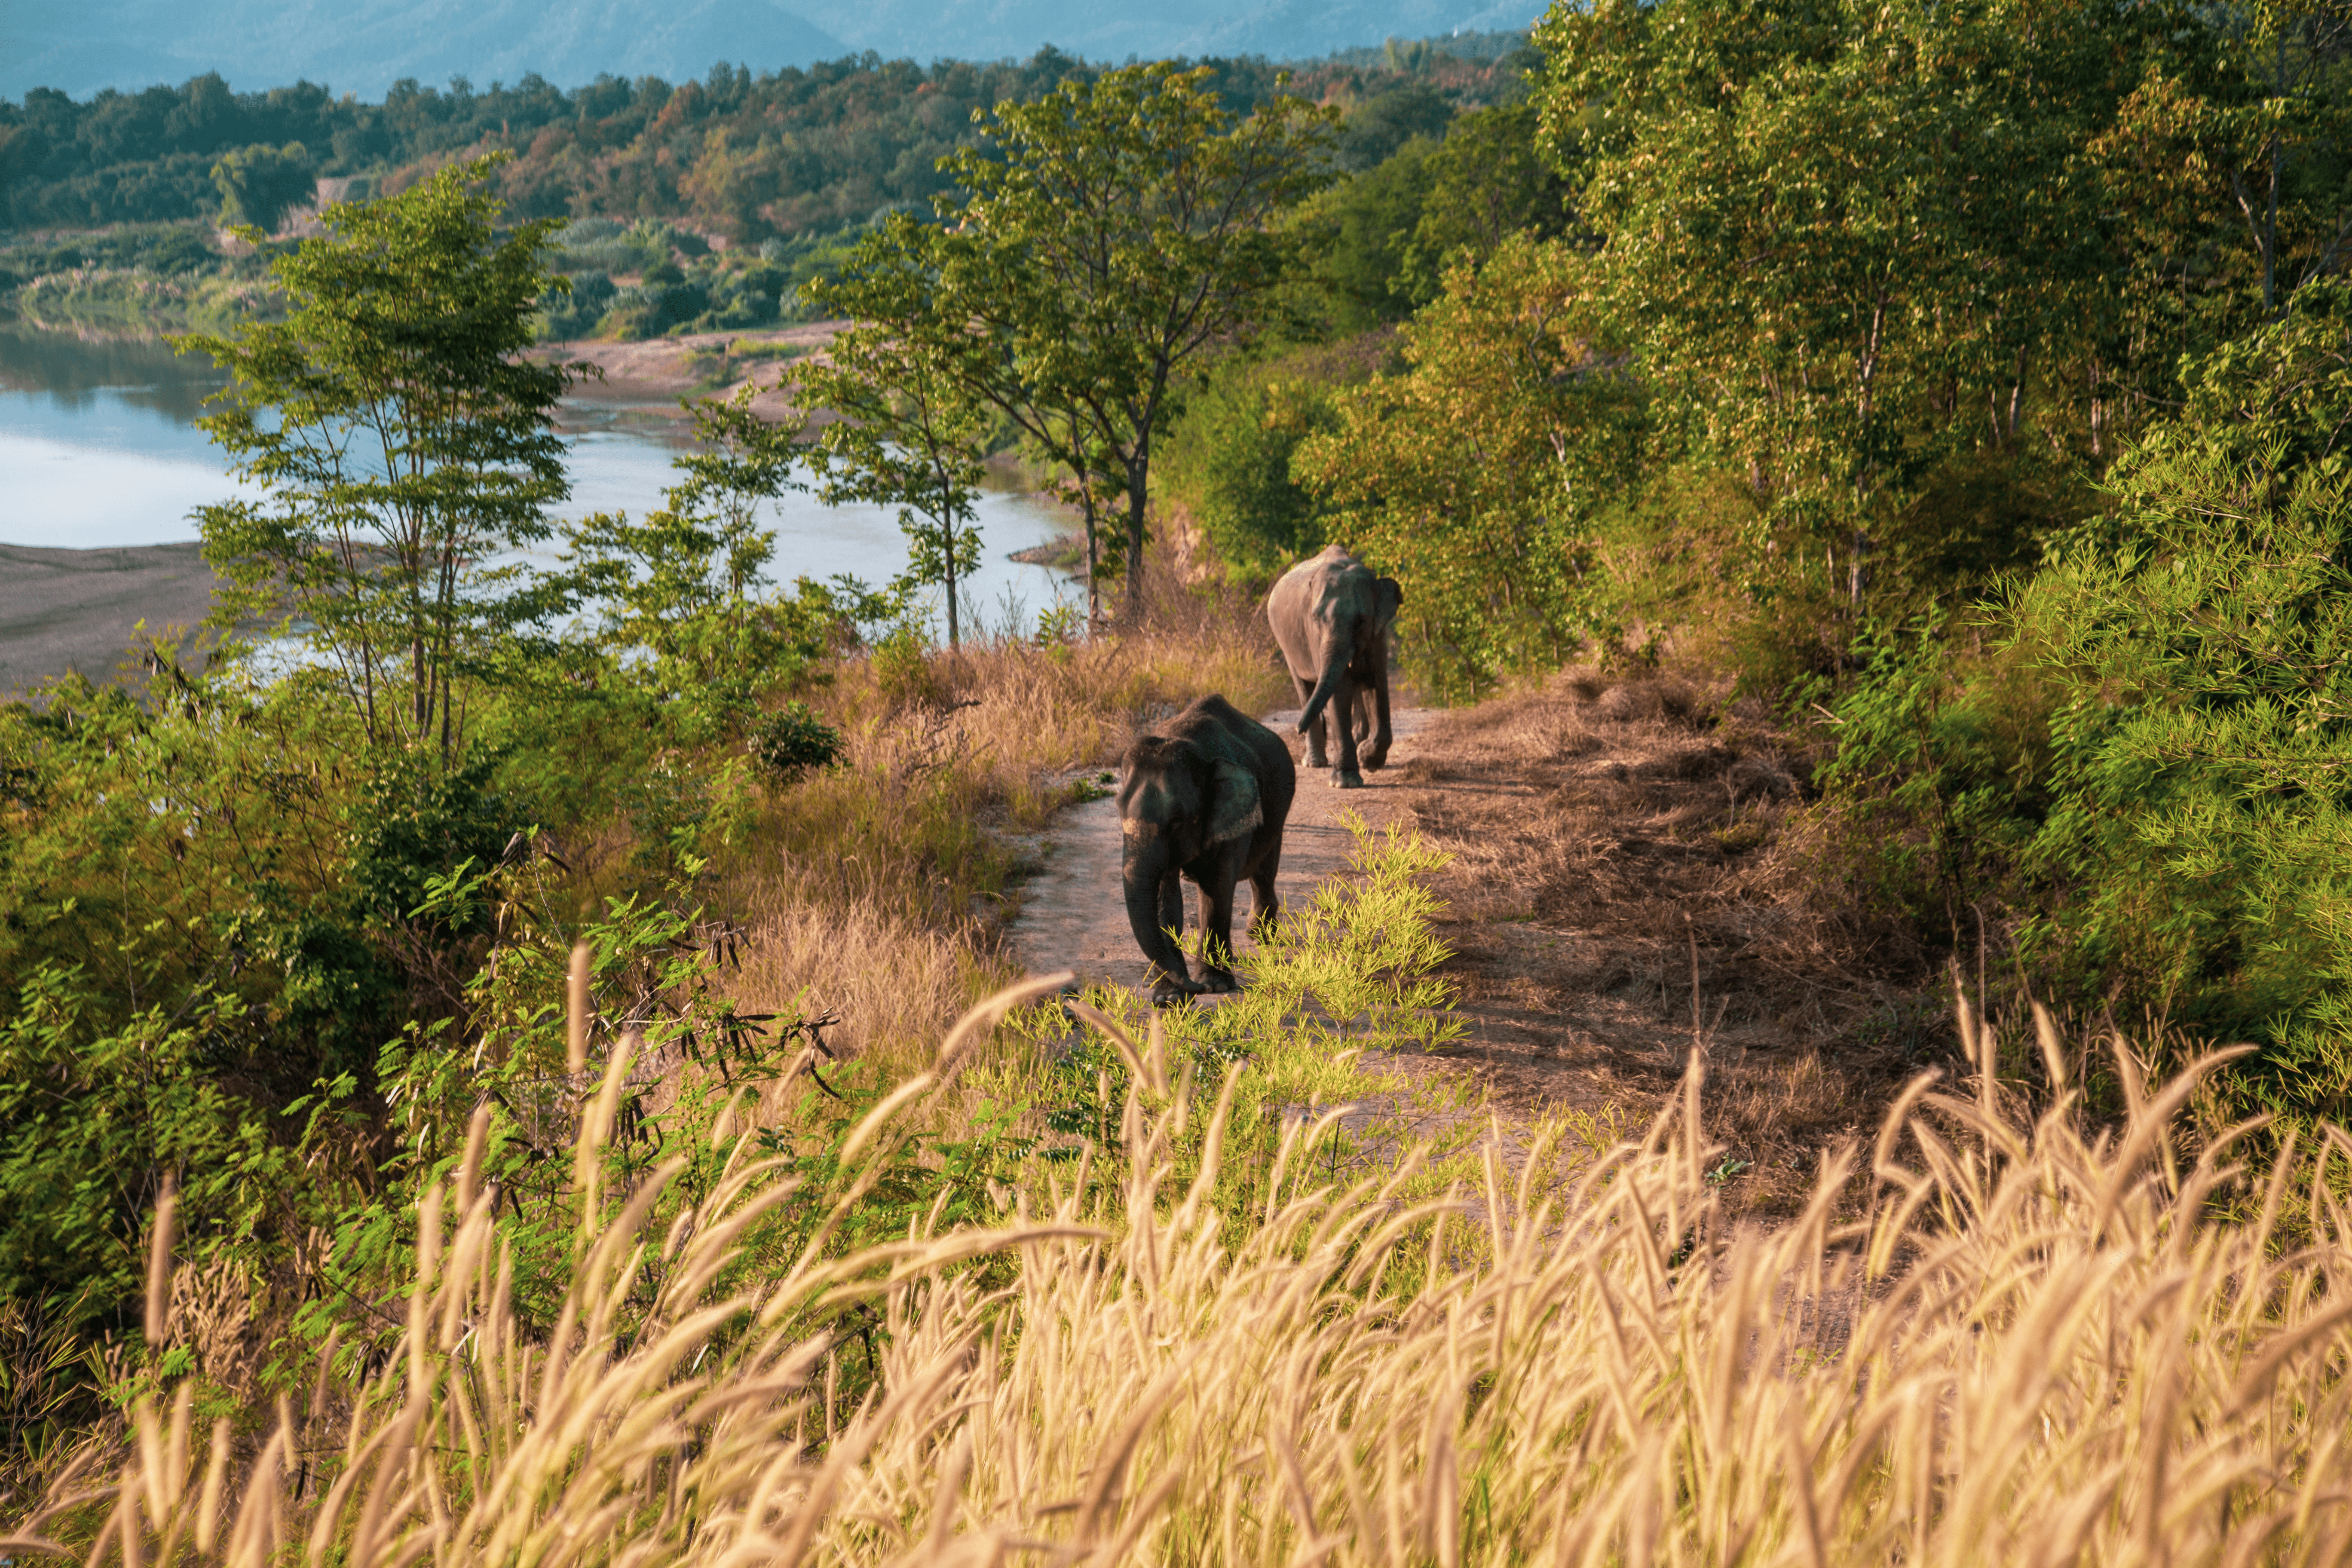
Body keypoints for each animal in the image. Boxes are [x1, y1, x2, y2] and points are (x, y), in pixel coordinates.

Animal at [1117, 694, 1297, 1006]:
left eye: (1177, 820)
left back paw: (1260, 937)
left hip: (1277, 811)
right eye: (1118, 810)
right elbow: (1165, 896)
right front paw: (1168, 998)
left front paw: (1215, 986)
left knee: (1263, 872)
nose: (1195, 988)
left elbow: (1217, 886)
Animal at [1267, 544, 1403, 788]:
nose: (1296, 730)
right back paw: (1315, 763)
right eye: (1316, 619)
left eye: (1361, 621)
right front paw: (1346, 783)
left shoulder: (1378, 634)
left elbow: (1376, 684)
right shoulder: (1313, 635)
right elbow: (1340, 691)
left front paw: (1368, 761)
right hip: (1286, 645)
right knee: (1304, 689)